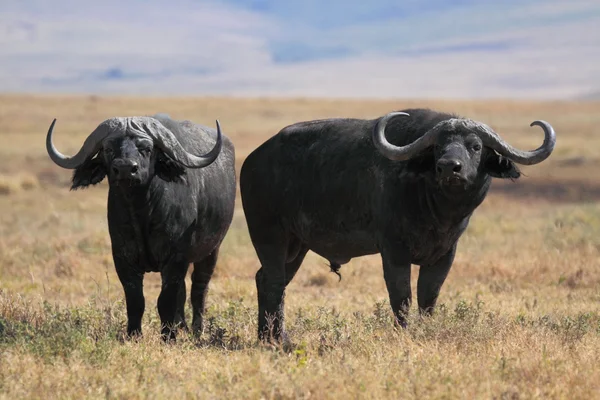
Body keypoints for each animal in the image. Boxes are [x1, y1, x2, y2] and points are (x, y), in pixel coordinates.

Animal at [45, 113, 237, 340]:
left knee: (199, 288)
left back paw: (196, 330)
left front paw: (168, 337)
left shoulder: (175, 258)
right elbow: (136, 300)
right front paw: (134, 335)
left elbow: (165, 301)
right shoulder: (123, 259)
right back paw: (181, 326)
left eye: (146, 148)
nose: (125, 168)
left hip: (211, 251)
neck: (142, 214)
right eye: (108, 148)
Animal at [240, 109, 556, 344]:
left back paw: (272, 337)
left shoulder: (445, 254)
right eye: (438, 146)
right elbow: (401, 297)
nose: (449, 166)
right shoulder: (394, 252)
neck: (436, 212)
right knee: (273, 281)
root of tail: (253, 160)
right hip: (270, 236)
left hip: (297, 246)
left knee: (267, 279)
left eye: (475, 146)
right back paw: (274, 340)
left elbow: (428, 297)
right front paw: (403, 333)